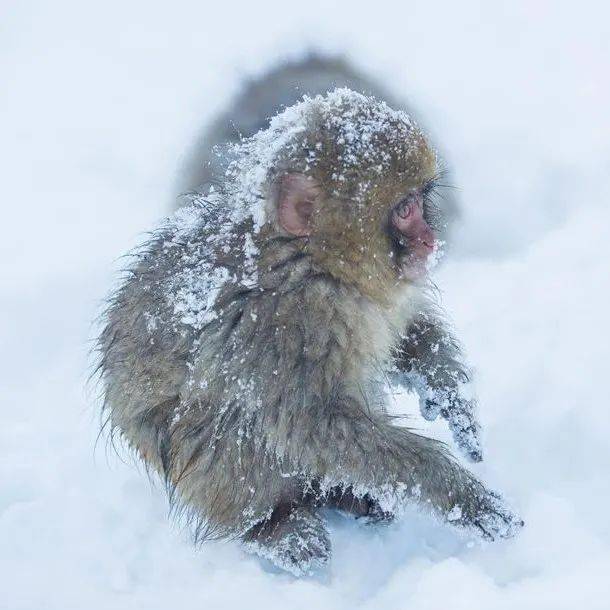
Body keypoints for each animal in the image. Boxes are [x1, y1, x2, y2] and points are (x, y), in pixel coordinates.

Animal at [97, 88, 520, 572]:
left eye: (419, 201)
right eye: (405, 210)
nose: (430, 242)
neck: (311, 263)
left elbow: (403, 331)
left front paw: (450, 394)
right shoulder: (283, 329)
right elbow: (313, 427)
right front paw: (458, 494)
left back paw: (347, 497)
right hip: (194, 470)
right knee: (231, 427)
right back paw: (276, 525)